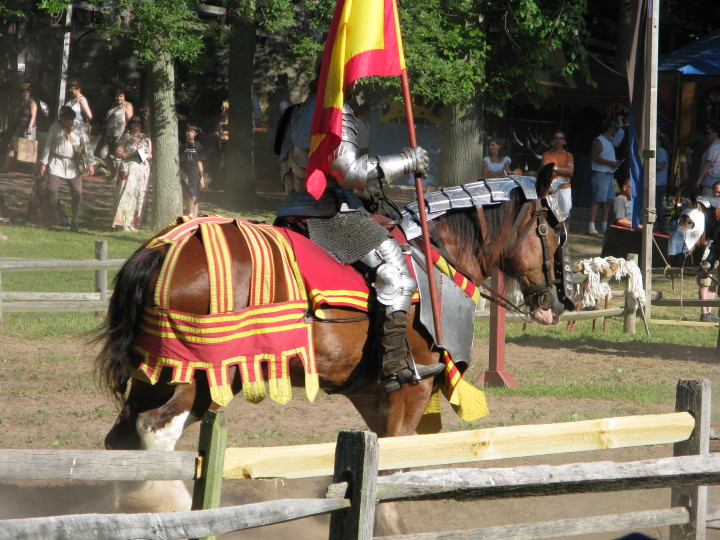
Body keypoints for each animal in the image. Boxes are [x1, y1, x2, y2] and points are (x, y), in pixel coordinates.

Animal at [94, 166, 568, 520]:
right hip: (202, 374)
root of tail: (163, 248)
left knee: (122, 439)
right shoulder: (412, 391)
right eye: (550, 231)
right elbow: (390, 473)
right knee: (154, 428)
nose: (556, 302)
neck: (437, 257)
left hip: (159, 374)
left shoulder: (374, 396)